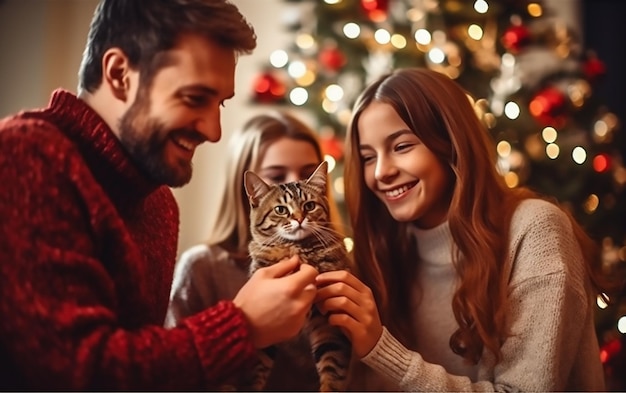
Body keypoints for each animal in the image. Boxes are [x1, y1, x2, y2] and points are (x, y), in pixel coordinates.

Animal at [243, 160, 352, 392]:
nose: (300, 219)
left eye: (309, 206)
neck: (298, 251)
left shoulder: (329, 322)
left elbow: (332, 369)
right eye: (281, 210)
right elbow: (256, 368)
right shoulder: (266, 325)